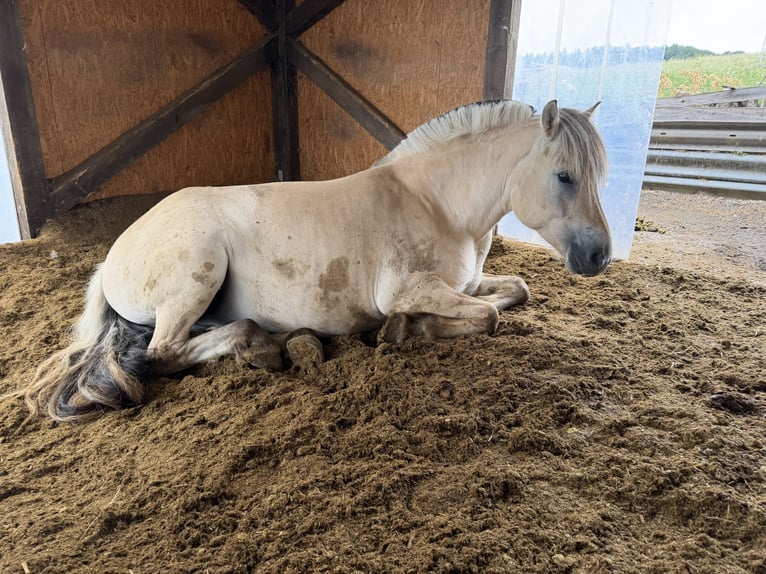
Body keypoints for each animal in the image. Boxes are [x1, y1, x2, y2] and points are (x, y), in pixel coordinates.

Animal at [17, 99, 610, 423]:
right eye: (564, 176)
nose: (599, 255)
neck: (437, 204)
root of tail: (113, 257)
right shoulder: (408, 289)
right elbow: (485, 318)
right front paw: (405, 329)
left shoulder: (469, 282)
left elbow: (516, 292)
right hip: (197, 273)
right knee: (165, 351)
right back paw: (264, 347)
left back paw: (288, 340)